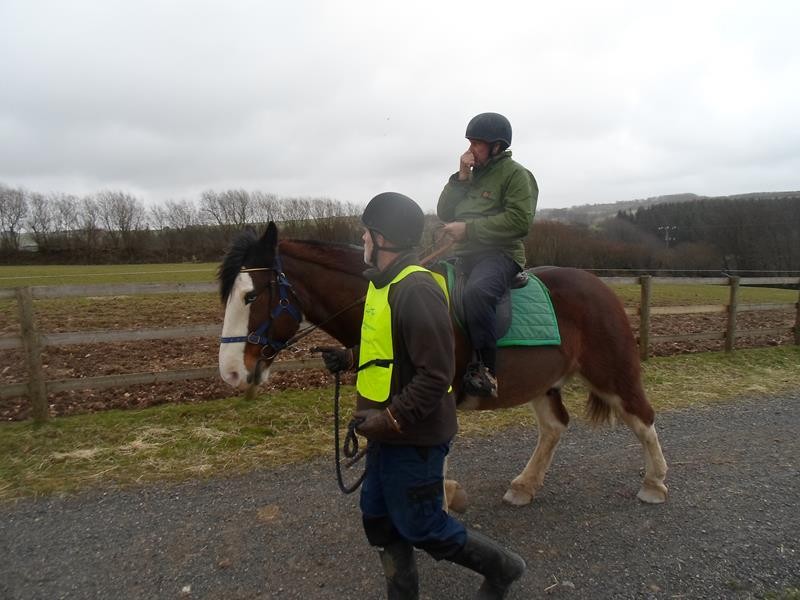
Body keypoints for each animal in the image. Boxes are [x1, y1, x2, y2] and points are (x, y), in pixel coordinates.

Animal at [219, 223, 668, 508]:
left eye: (250, 295)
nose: (231, 373)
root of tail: (599, 285)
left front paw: (441, 501)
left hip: (612, 373)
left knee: (643, 418)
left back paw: (654, 482)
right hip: (543, 383)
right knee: (555, 427)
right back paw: (525, 486)